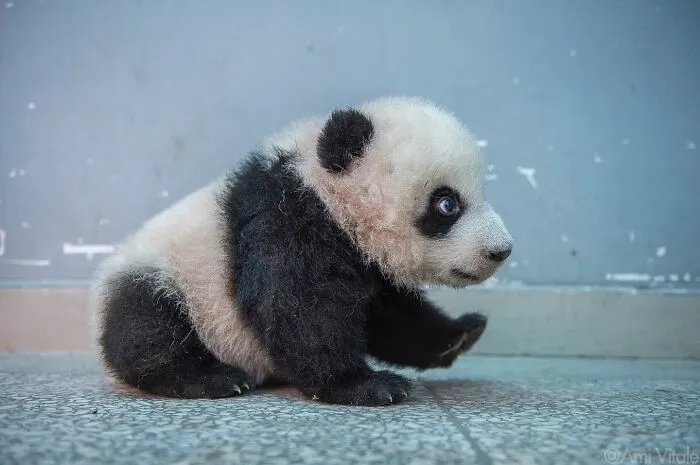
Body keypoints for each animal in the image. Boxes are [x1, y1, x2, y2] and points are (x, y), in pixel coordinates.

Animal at [91, 96, 513, 406]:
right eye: (447, 204)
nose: (502, 250)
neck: (328, 191)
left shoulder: (362, 261)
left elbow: (387, 315)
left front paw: (461, 334)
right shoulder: (287, 219)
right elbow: (299, 307)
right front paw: (366, 385)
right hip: (167, 276)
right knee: (149, 326)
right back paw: (212, 378)